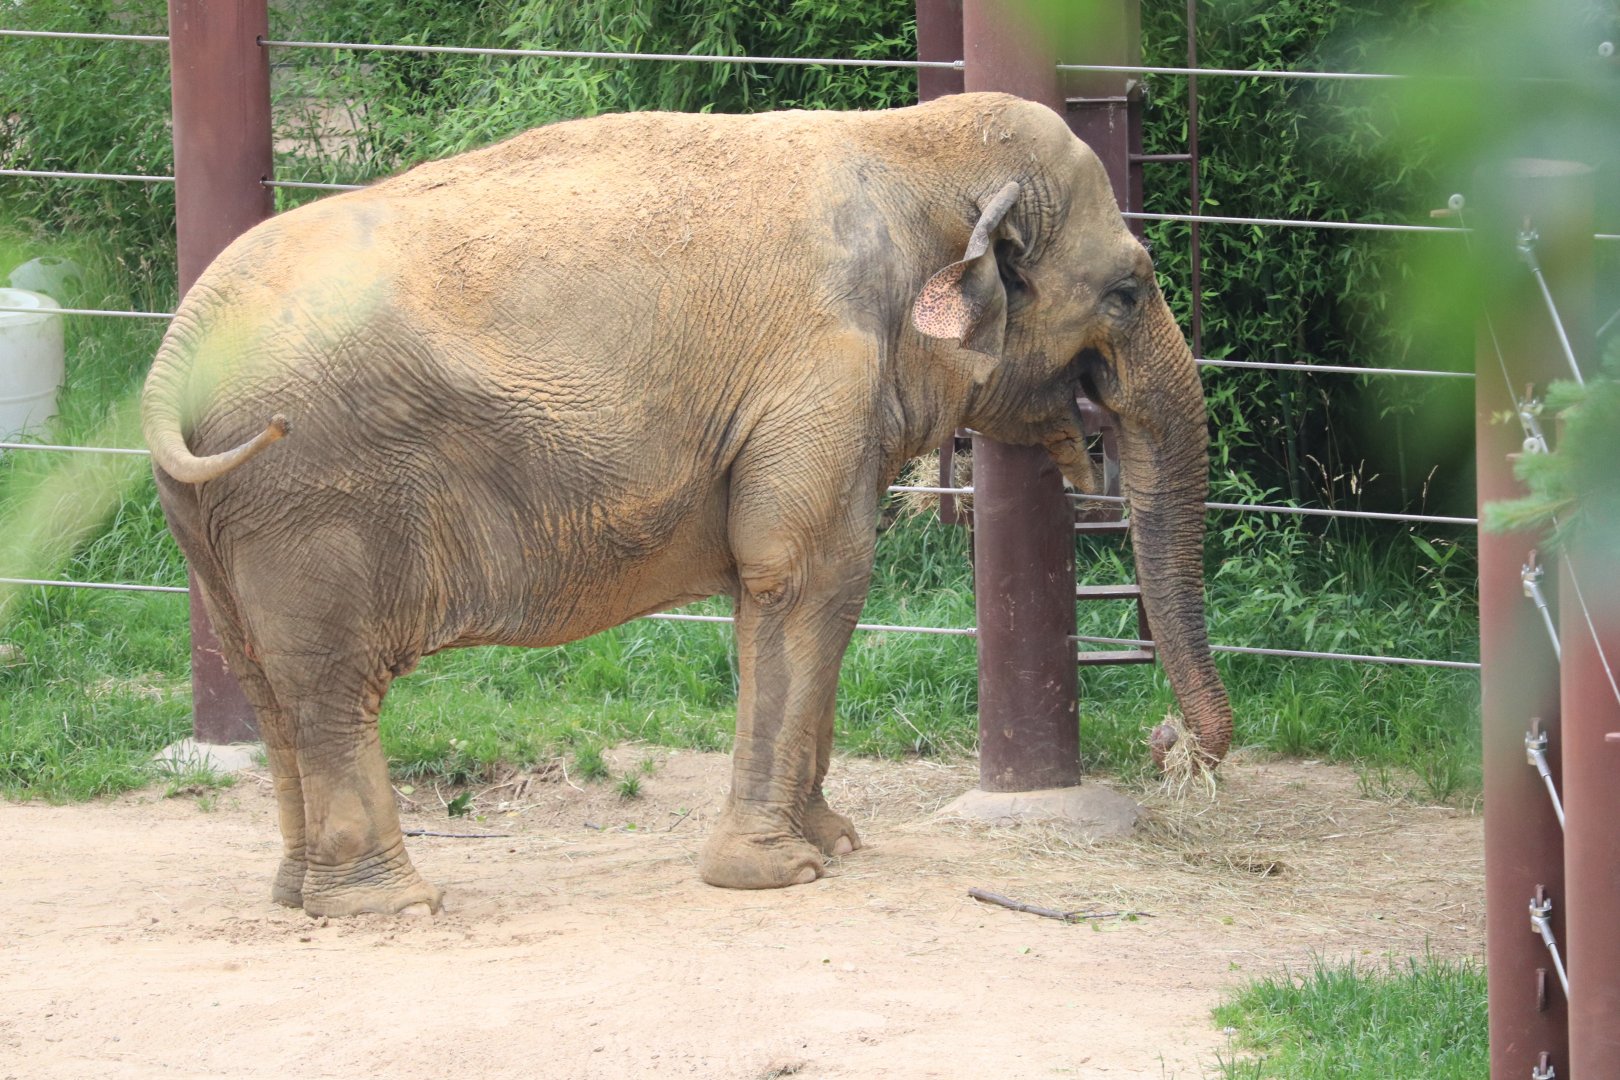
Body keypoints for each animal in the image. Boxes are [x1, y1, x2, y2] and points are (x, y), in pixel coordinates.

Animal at [141, 91, 1233, 917]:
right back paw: (391, 907)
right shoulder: (820, 370)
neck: (905, 140)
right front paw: (781, 872)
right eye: (1128, 291)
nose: (1173, 749)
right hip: (306, 492)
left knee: (265, 674)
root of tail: (176, 351)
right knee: (330, 683)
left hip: (219, 511)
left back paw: (300, 898)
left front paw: (836, 844)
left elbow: (797, 590)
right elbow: (812, 577)